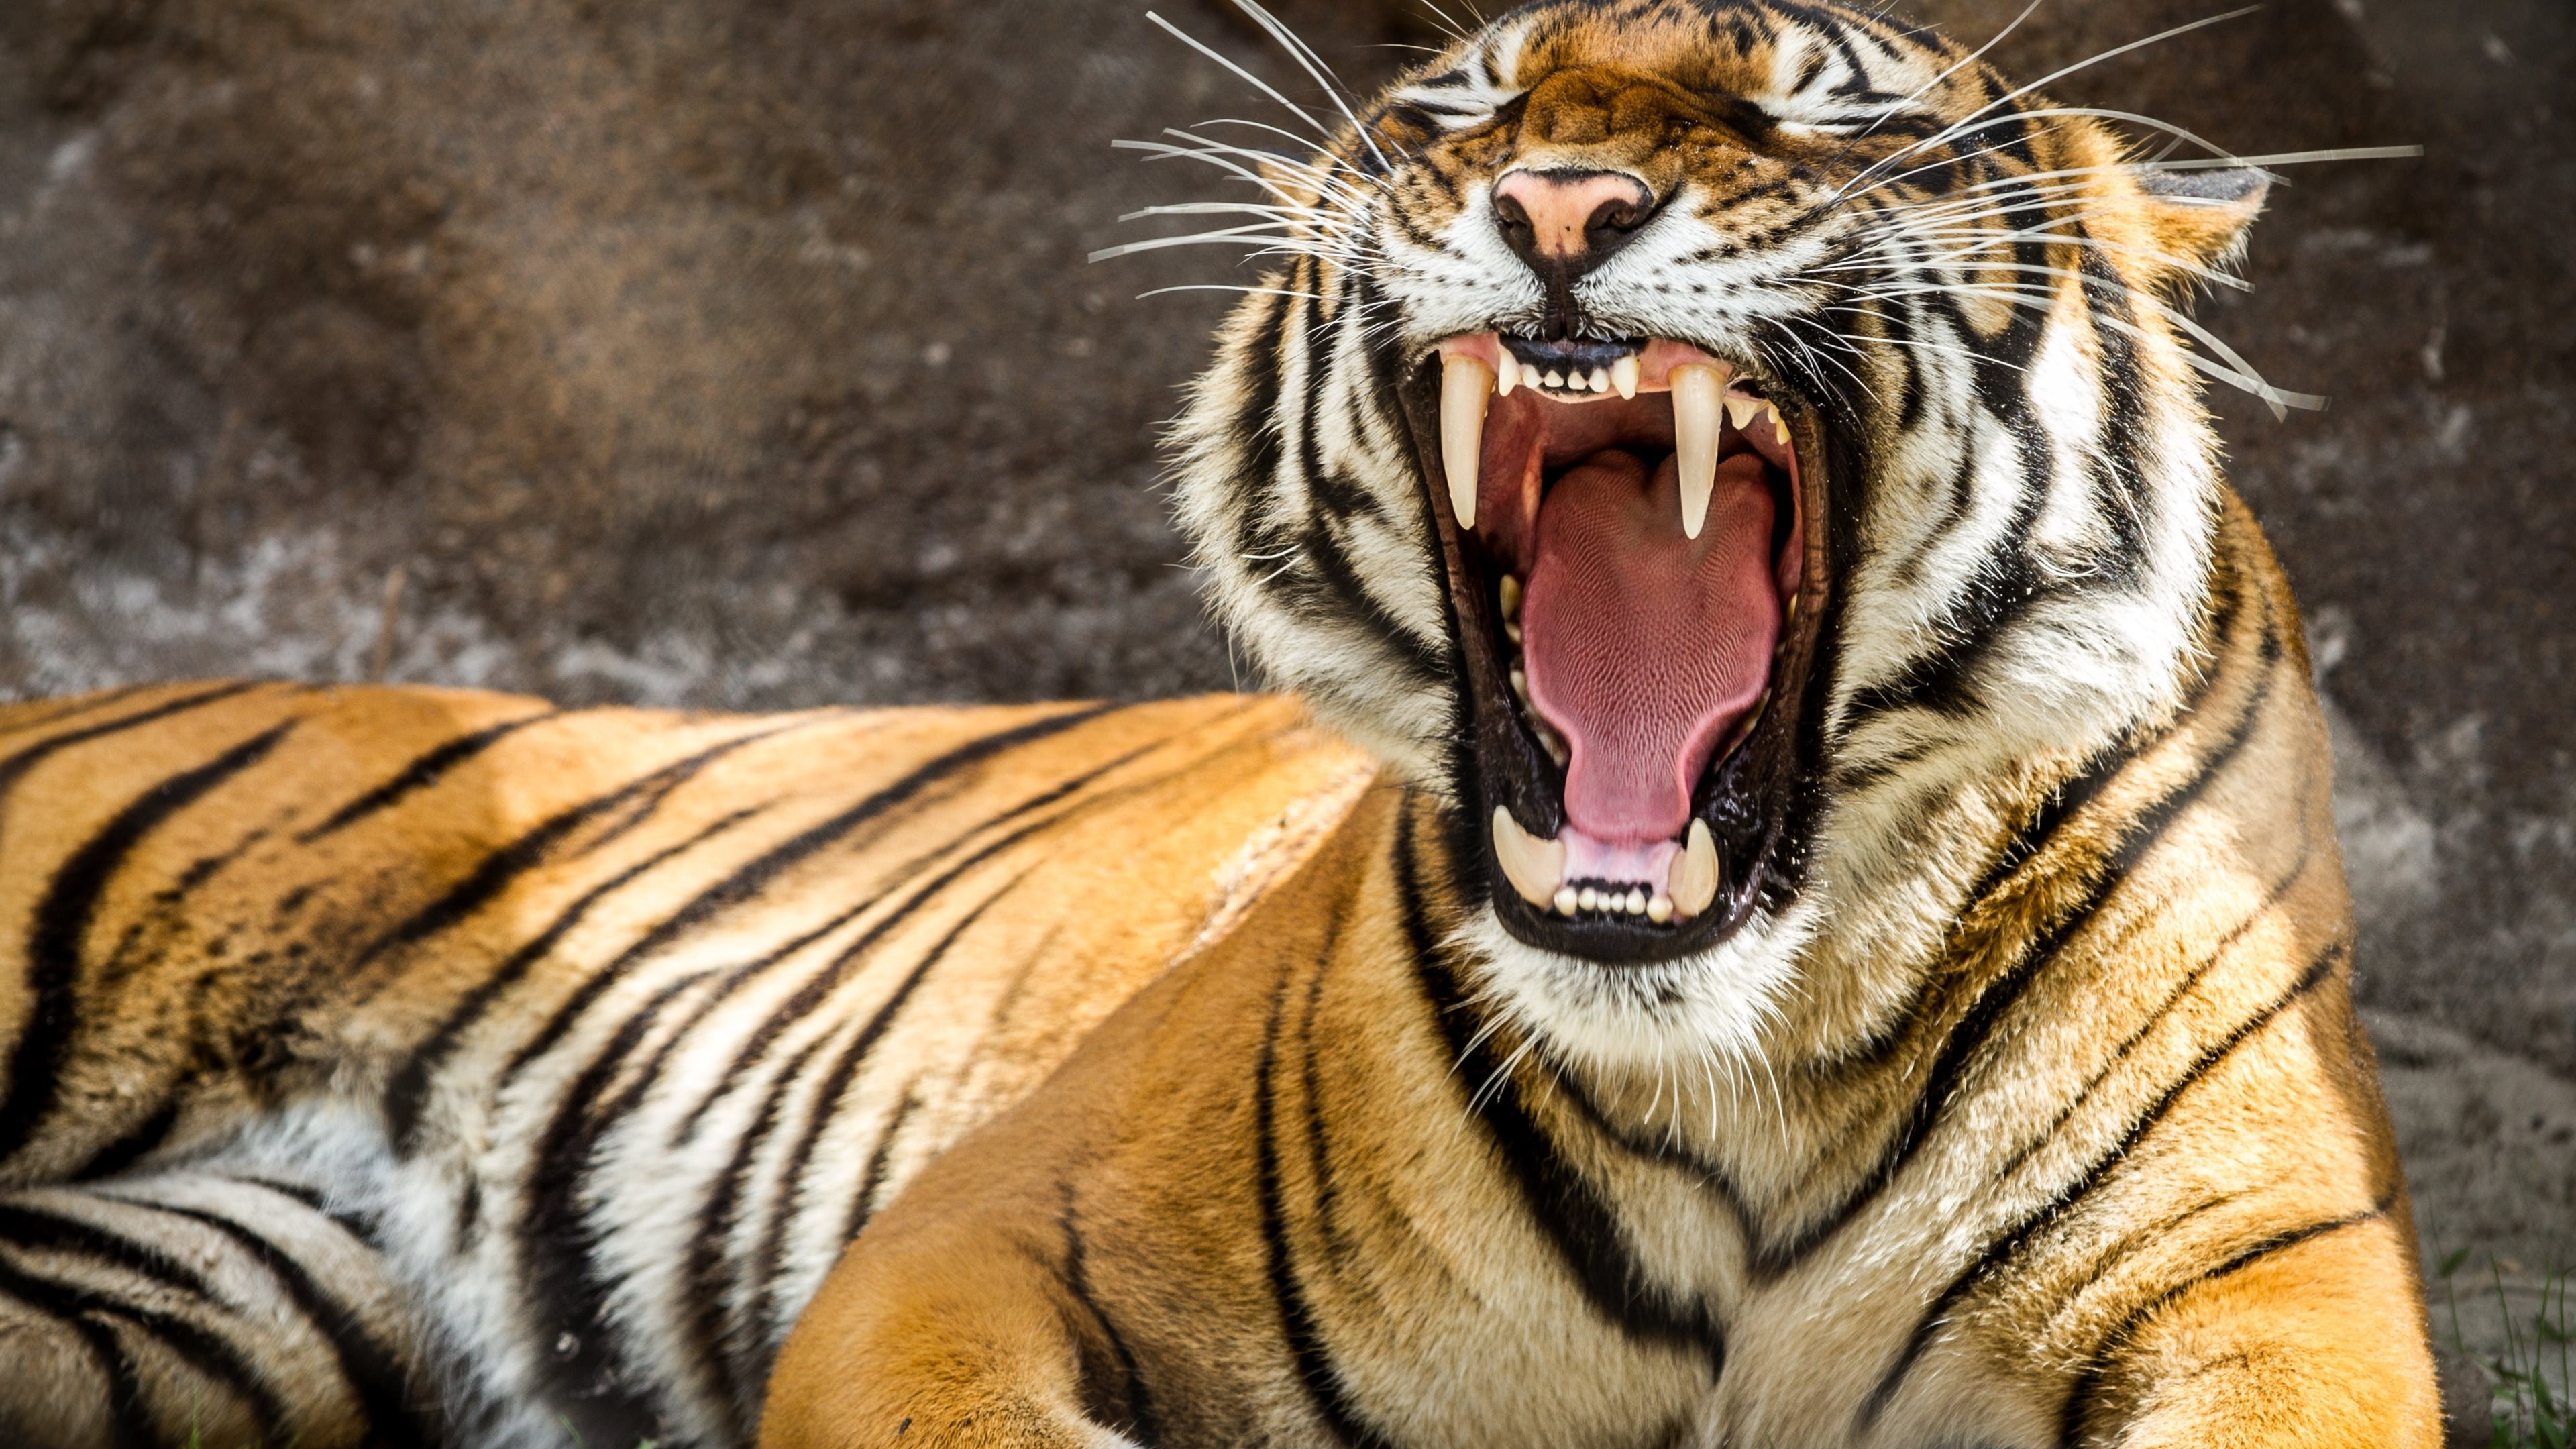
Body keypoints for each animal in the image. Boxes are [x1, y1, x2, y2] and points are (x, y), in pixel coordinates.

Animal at [0, 2, 2441, 1447]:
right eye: (1465, 106)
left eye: (1811, 104)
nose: (1557, 203)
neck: (1749, 1044)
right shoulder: (965, 1249)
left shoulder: (2273, 1290)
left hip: (231, 1306)